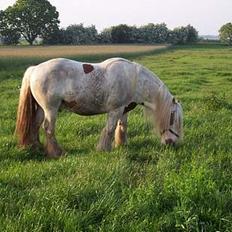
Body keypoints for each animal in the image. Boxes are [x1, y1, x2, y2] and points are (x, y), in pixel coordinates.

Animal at [15, 57, 184, 158]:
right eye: (173, 118)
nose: (172, 143)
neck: (134, 80)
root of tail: (35, 69)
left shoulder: (124, 110)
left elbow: (122, 127)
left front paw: (121, 144)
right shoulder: (115, 110)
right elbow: (109, 129)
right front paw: (104, 149)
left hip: (41, 109)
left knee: (35, 124)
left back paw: (36, 146)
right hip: (51, 109)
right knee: (48, 128)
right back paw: (57, 153)